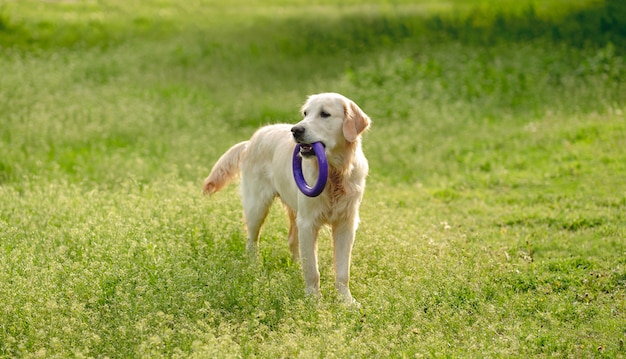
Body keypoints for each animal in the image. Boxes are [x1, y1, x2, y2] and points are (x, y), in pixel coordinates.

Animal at [202, 92, 368, 304]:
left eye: (325, 114)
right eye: (305, 113)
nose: (295, 130)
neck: (335, 174)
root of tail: (251, 140)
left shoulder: (346, 223)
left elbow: (342, 270)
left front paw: (346, 301)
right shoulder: (308, 222)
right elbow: (312, 269)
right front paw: (314, 300)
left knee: (292, 240)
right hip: (257, 206)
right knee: (252, 240)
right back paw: (254, 266)